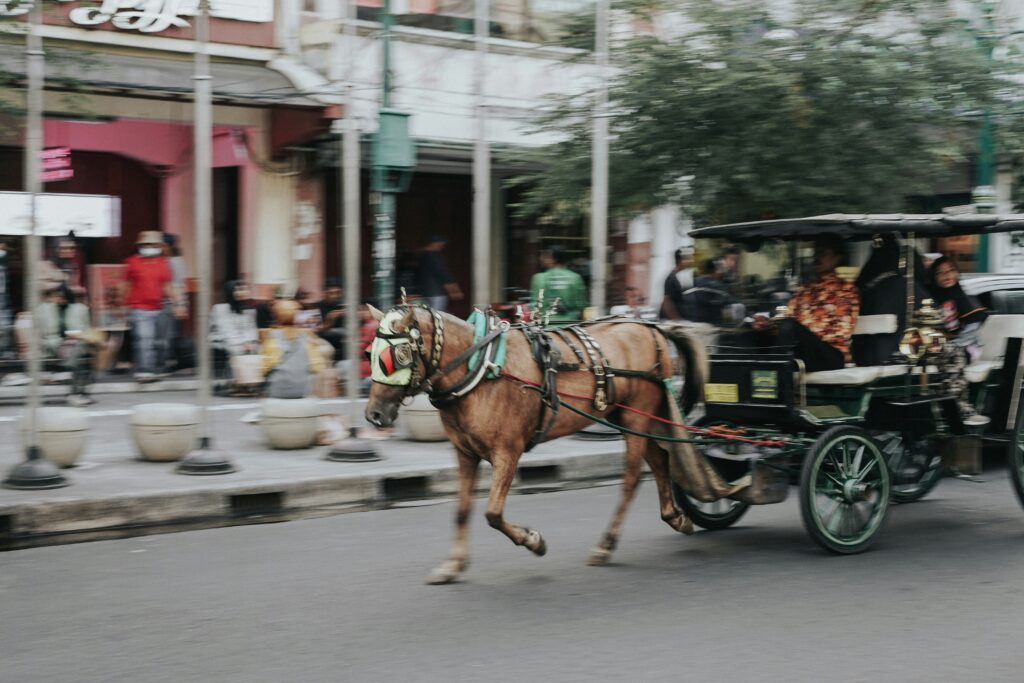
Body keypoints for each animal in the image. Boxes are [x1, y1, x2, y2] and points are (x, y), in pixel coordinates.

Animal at [364, 307, 708, 585]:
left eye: (398, 356)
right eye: (371, 354)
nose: (374, 414)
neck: (480, 369)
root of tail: (652, 328)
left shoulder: (507, 452)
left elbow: (492, 513)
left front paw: (533, 540)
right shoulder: (465, 453)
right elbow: (461, 511)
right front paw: (453, 566)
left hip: (637, 418)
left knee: (632, 479)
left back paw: (606, 544)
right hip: (627, 416)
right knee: (660, 459)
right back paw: (675, 517)